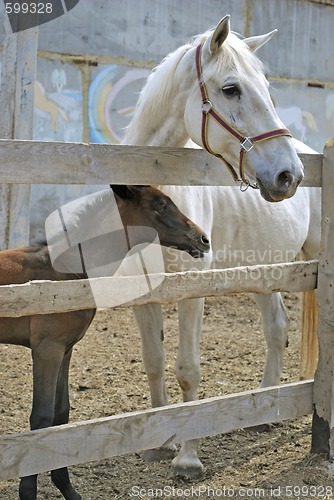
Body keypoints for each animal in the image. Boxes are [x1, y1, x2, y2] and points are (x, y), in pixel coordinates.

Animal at [122, 15, 316, 476]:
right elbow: (154, 363)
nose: (289, 176)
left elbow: (188, 370)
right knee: (276, 328)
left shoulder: (193, 291)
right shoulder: (143, 294)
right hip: (263, 273)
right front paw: (157, 444)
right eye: (231, 89)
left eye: (267, 88)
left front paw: (188, 459)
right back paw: (264, 411)